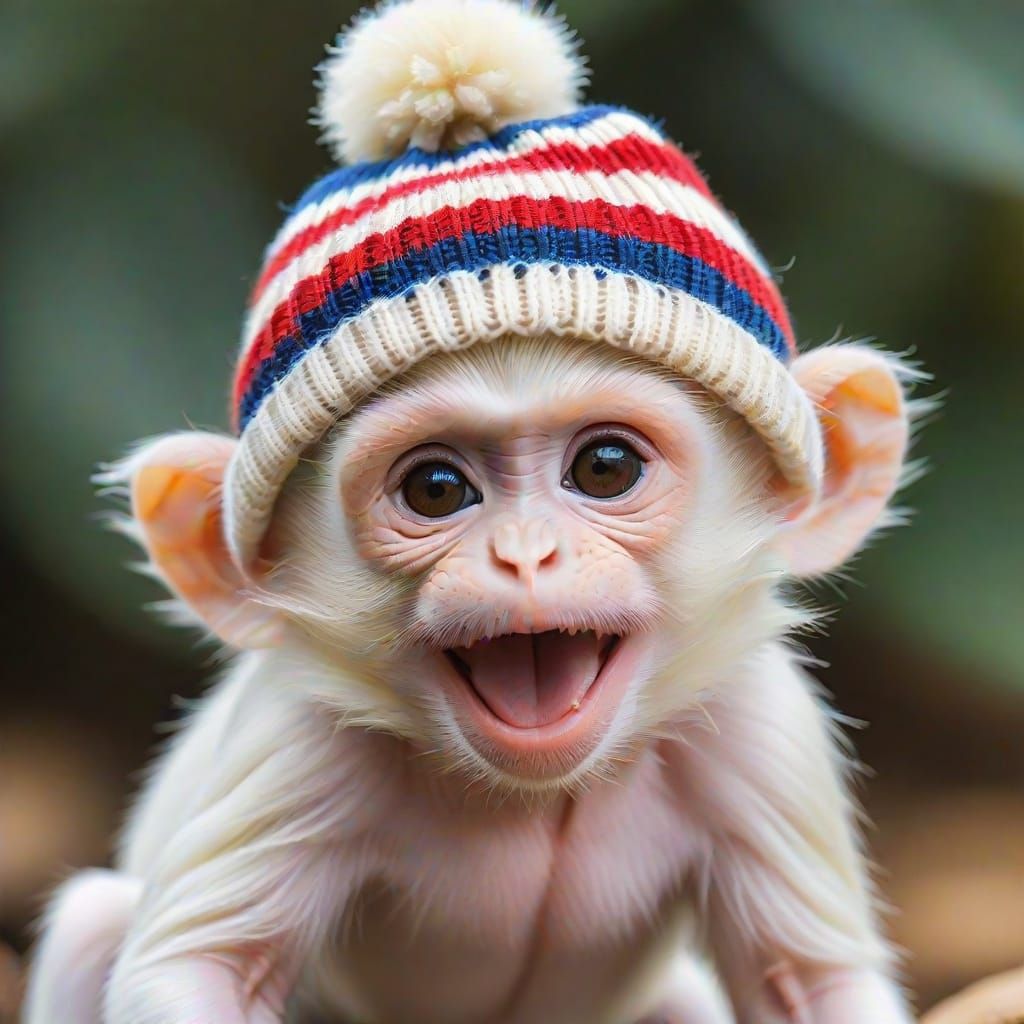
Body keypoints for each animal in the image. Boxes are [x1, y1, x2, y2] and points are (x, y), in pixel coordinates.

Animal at [21, 2, 923, 1022]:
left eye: (605, 467)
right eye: (436, 490)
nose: (525, 556)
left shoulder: (761, 731)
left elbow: (812, 980)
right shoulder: (297, 744)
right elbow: (195, 968)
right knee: (95, 919)